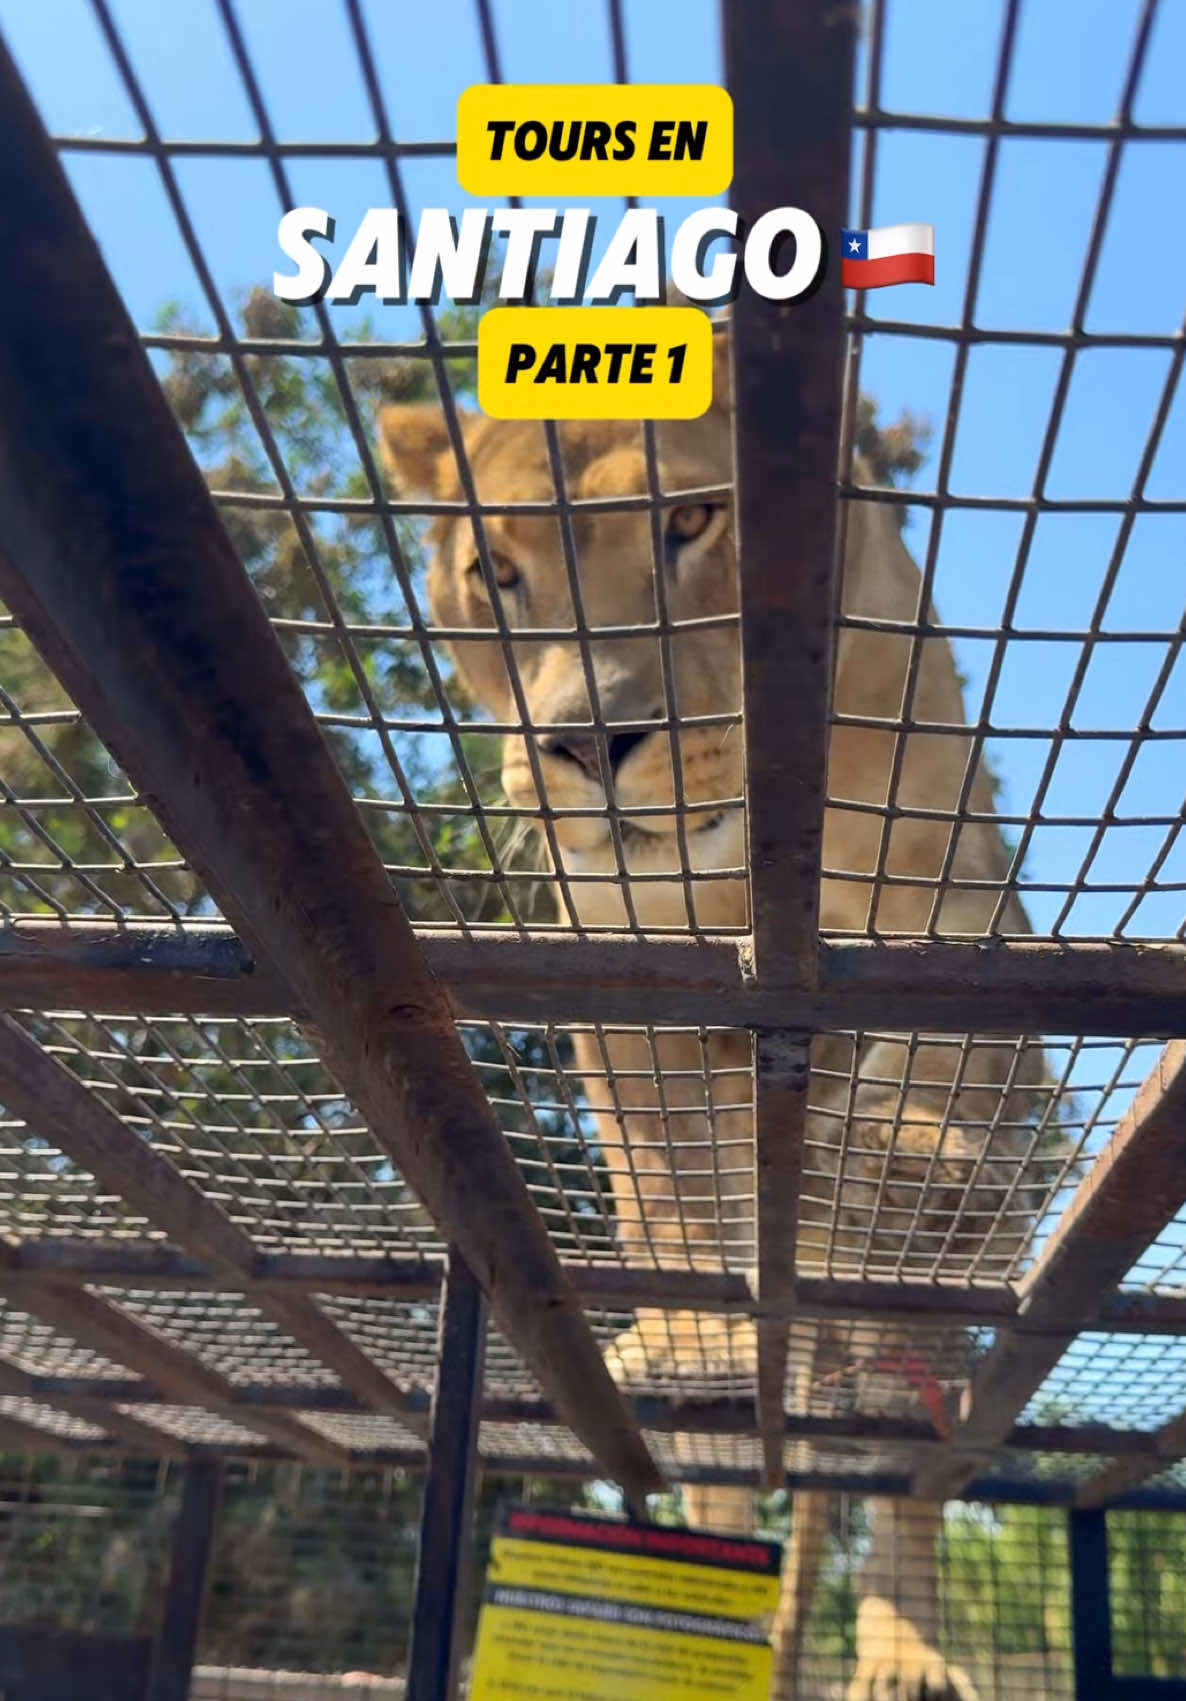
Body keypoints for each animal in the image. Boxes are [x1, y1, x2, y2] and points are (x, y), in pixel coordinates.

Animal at [379, 329, 1042, 1701]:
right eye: (497, 574)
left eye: (689, 518)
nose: (589, 742)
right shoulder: (625, 1000)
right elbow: (674, 1190)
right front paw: (694, 1328)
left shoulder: (948, 909)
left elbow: (916, 1095)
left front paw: (891, 1193)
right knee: (733, 1490)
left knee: (903, 1453)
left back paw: (901, 1642)